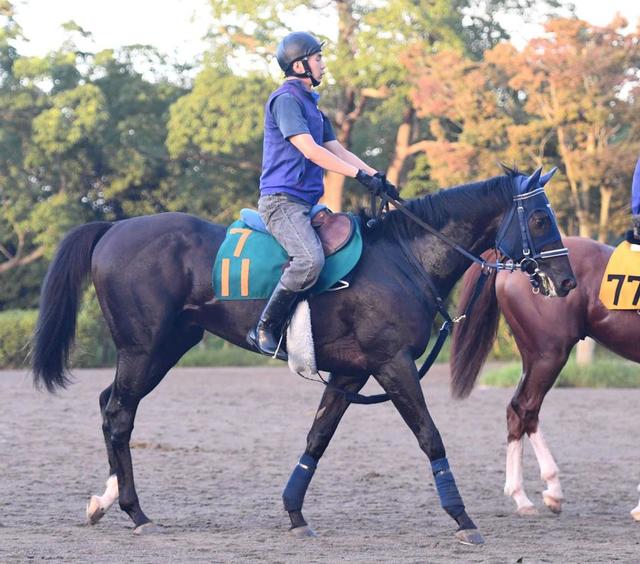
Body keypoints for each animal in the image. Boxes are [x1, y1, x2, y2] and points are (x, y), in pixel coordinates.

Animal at [31, 167, 576, 546]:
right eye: (540, 217)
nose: (566, 282)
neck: (405, 258)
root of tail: (113, 227)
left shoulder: (351, 373)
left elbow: (318, 437)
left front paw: (294, 512)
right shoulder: (392, 364)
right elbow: (429, 436)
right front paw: (462, 519)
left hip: (162, 349)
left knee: (111, 406)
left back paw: (106, 501)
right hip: (145, 349)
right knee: (119, 414)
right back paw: (134, 511)